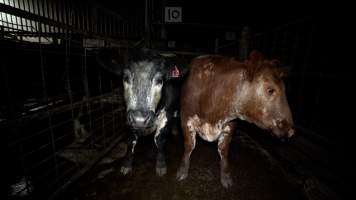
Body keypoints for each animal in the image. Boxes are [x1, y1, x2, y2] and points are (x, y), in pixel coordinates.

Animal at [96, 47, 188, 176]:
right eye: (125, 77)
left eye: (160, 80)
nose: (140, 119)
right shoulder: (129, 117)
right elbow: (131, 141)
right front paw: (126, 164)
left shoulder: (166, 114)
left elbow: (160, 139)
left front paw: (161, 165)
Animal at [176, 50, 294, 188]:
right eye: (270, 90)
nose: (290, 130)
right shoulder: (185, 118)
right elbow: (189, 145)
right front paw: (182, 172)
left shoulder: (231, 125)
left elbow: (223, 150)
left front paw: (226, 178)